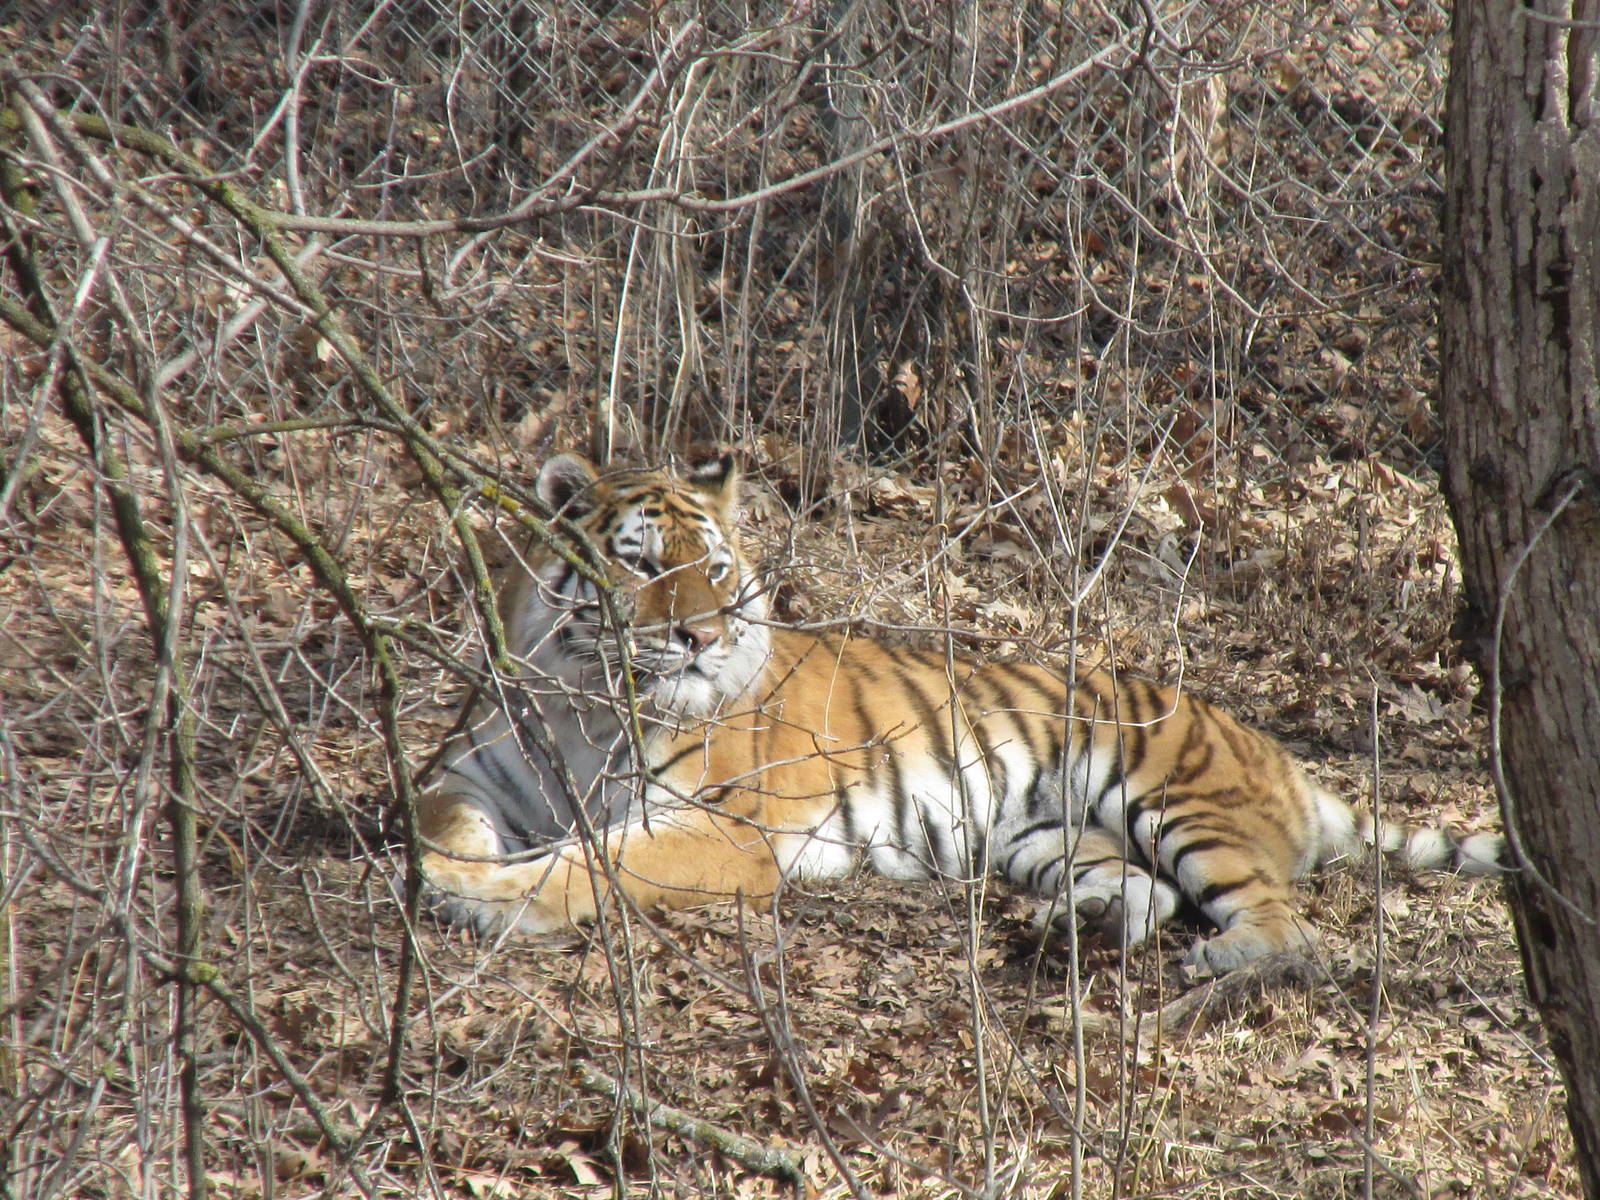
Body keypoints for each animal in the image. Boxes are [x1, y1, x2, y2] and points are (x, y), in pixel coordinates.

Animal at [416, 452, 1505, 976]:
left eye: (715, 569)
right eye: (640, 564)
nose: (701, 636)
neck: (583, 705)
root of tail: (1282, 756)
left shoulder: (723, 828)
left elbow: (592, 861)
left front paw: (483, 897)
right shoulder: (467, 773)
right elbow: (445, 822)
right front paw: (448, 870)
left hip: (1176, 795)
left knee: (1284, 923)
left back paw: (1229, 957)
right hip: (1044, 834)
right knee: (1142, 893)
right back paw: (1082, 926)